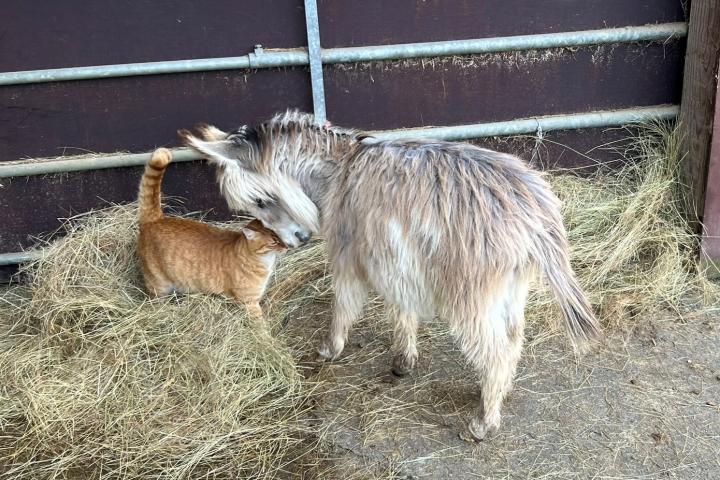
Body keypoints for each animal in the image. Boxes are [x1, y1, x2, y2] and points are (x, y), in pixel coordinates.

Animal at [136, 148, 286, 316]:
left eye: (282, 235)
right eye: (274, 241)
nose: (286, 246)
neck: (264, 261)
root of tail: (156, 219)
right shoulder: (250, 303)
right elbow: (262, 323)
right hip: (159, 286)